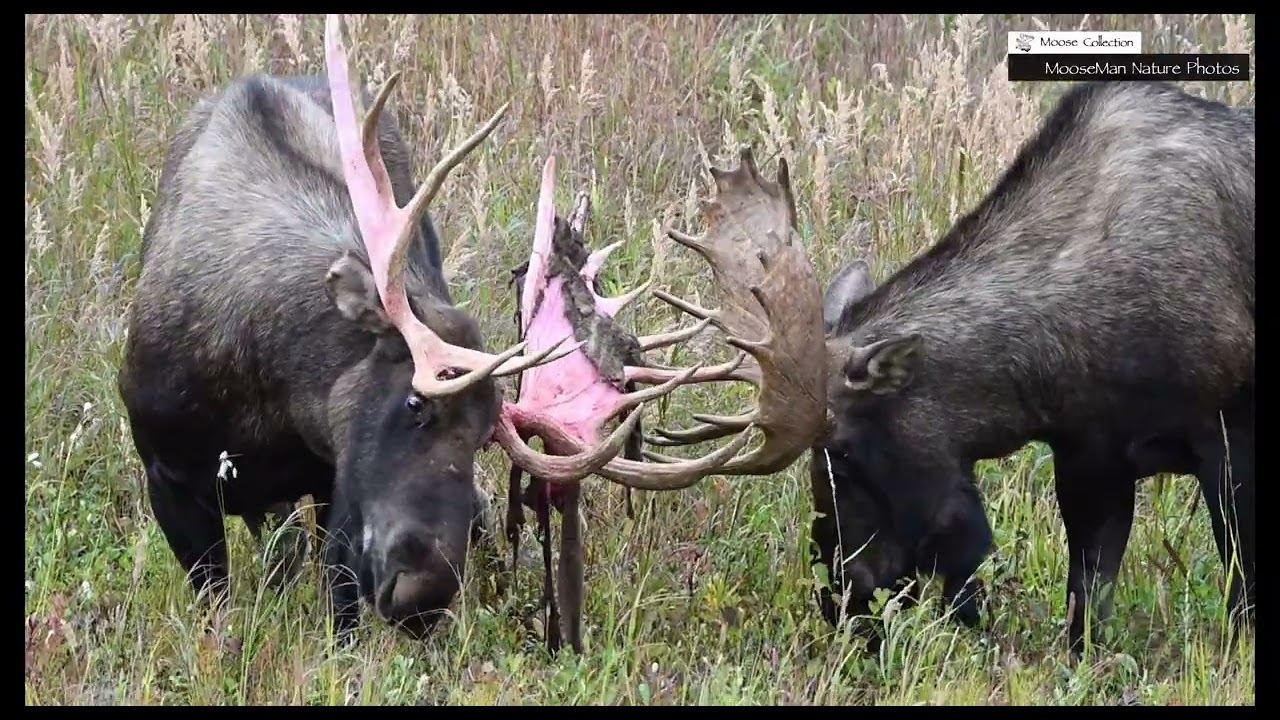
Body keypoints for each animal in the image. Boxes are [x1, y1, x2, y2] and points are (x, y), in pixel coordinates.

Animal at [808, 80, 1254, 658]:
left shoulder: (1229, 440)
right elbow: (1087, 596)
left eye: (841, 454)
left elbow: (1240, 583)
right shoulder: (1093, 458)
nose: (839, 599)